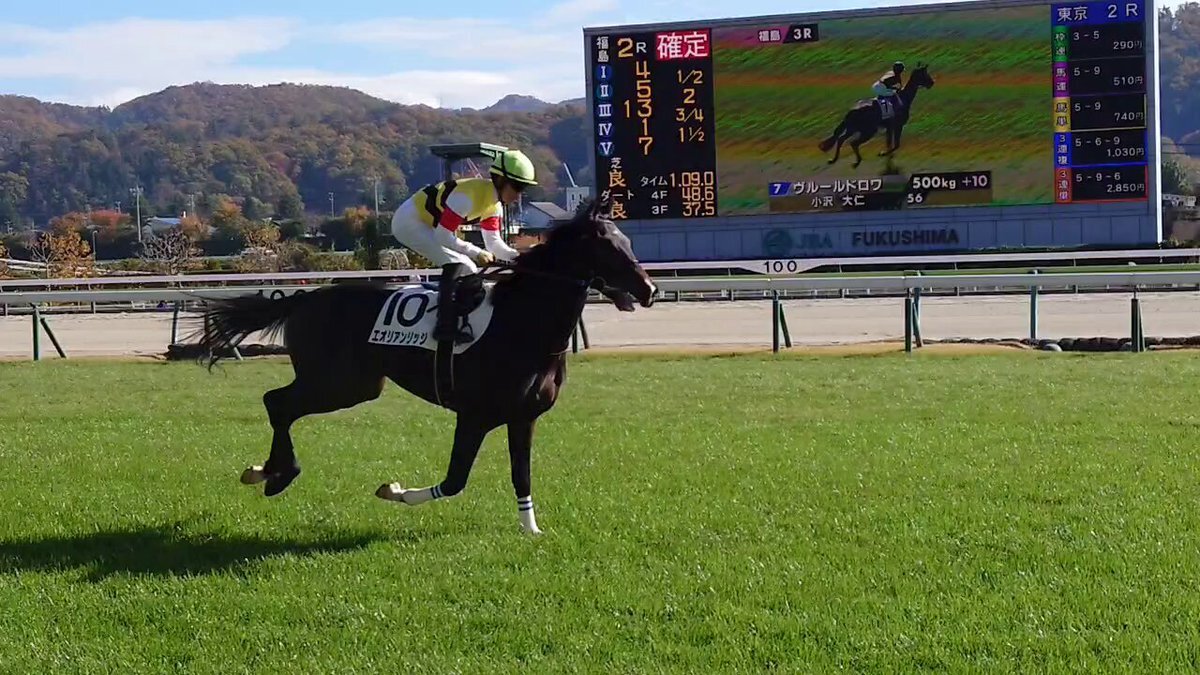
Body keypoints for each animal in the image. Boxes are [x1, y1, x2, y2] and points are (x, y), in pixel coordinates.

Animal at [191, 198, 657, 535]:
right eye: (608, 246)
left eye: (628, 242)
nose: (649, 290)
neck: (521, 324)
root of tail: (303, 299)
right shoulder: (474, 415)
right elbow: (454, 481)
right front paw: (395, 491)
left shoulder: (523, 417)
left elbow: (521, 476)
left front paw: (532, 530)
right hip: (340, 383)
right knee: (278, 403)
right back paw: (276, 474)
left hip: (355, 384)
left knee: (280, 404)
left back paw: (266, 471)